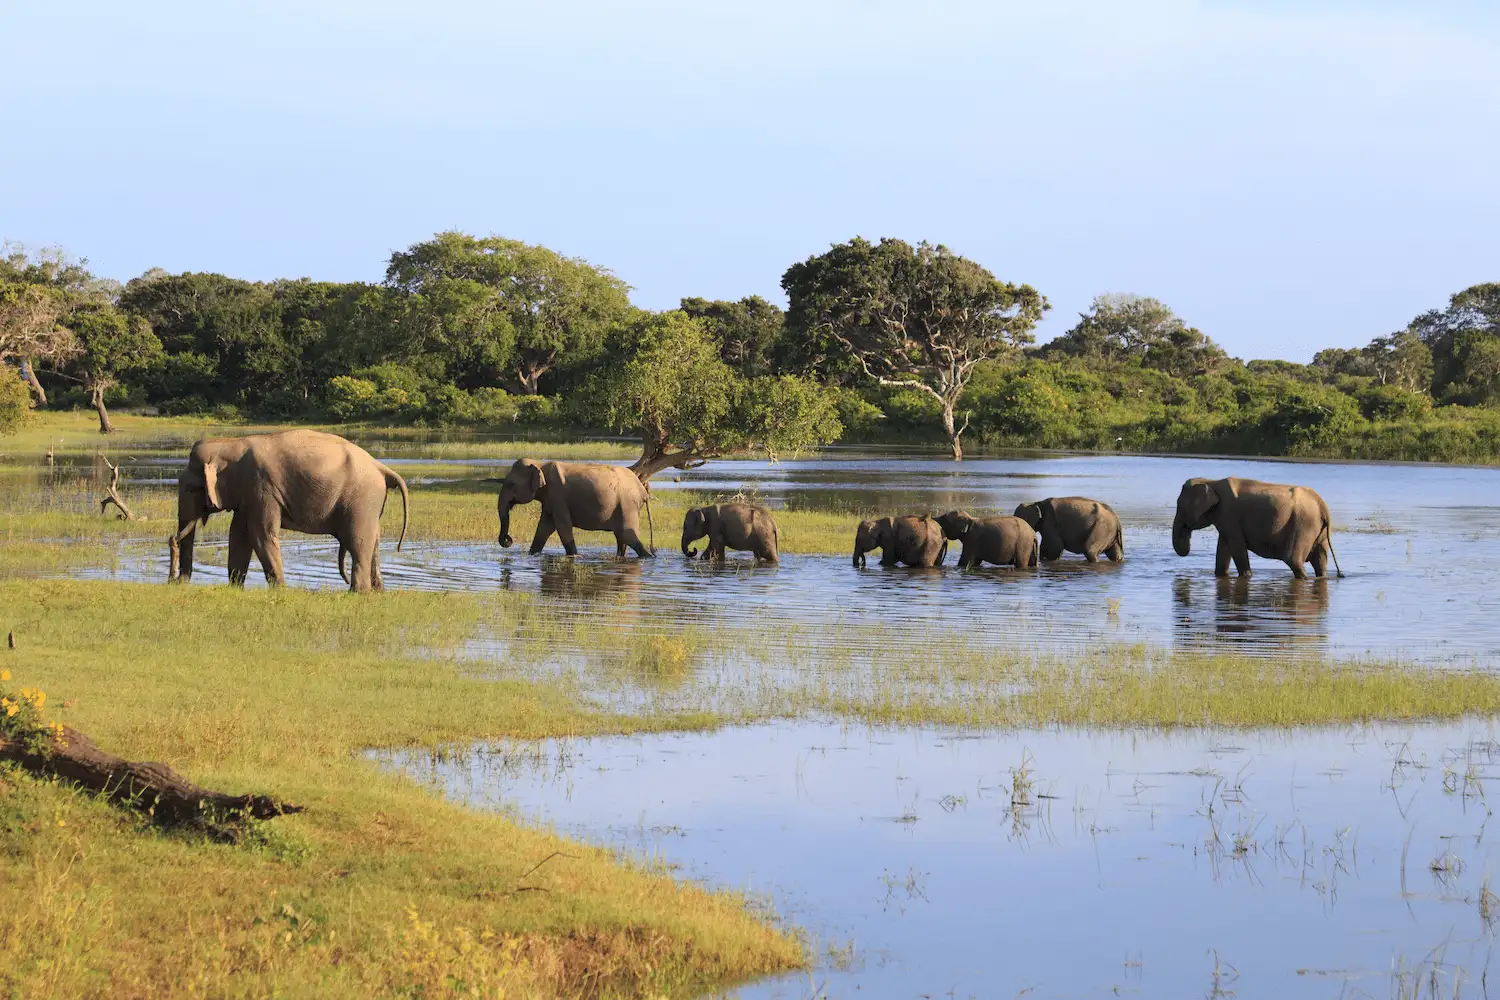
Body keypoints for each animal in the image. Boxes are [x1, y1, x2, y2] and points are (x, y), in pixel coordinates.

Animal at [169, 429, 408, 592]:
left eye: (191, 489)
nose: (176, 581)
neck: (232, 444)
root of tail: (381, 468)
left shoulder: (262, 488)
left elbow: (260, 534)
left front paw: (280, 590)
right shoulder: (249, 495)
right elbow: (238, 535)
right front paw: (235, 588)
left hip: (361, 500)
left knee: (358, 542)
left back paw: (357, 592)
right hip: (370, 505)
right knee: (373, 541)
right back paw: (378, 591)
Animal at [496, 459, 654, 557]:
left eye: (511, 484)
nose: (509, 540)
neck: (539, 464)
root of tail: (643, 490)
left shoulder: (558, 495)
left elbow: (562, 526)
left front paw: (575, 556)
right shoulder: (550, 499)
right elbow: (544, 528)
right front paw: (532, 554)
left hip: (627, 504)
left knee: (627, 535)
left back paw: (648, 557)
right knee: (622, 538)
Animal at [1172, 477, 1342, 579]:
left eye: (1179, 507)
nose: (1186, 534)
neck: (1211, 481)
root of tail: (1322, 505)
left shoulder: (1229, 515)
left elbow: (1237, 548)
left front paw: (1247, 575)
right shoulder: (1226, 520)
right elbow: (1223, 549)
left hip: (1303, 524)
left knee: (1293, 559)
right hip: (1317, 530)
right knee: (1320, 560)